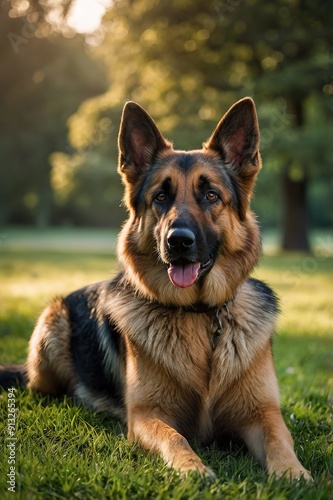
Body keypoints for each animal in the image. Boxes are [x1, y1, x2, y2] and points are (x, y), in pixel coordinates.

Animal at [1, 96, 310, 480]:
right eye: (161, 196)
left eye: (211, 195)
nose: (178, 241)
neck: (199, 314)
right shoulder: (148, 416)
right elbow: (174, 437)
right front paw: (193, 469)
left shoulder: (262, 412)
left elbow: (278, 438)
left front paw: (294, 473)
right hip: (51, 329)